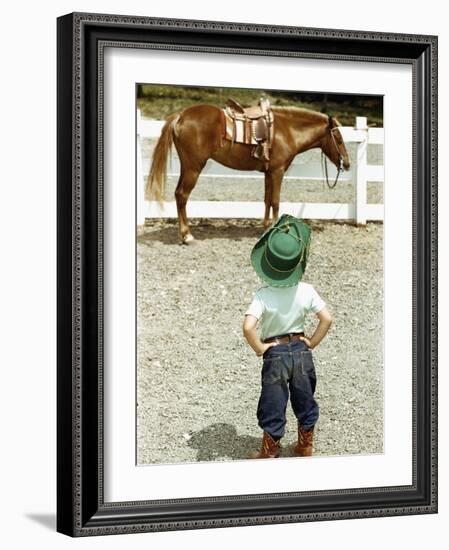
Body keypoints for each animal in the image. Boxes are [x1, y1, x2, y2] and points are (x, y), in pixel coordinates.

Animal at [147, 104, 350, 243]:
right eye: (339, 140)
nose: (347, 164)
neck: (287, 131)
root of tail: (181, 116)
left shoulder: (269, 173)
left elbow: (267, 200)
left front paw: (267, 228)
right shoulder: (277, 172)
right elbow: (275, 201)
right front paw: (276, 230)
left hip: (187, 167)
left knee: (178, 194)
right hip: (193, 168)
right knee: (182, 195)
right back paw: (187, 236)